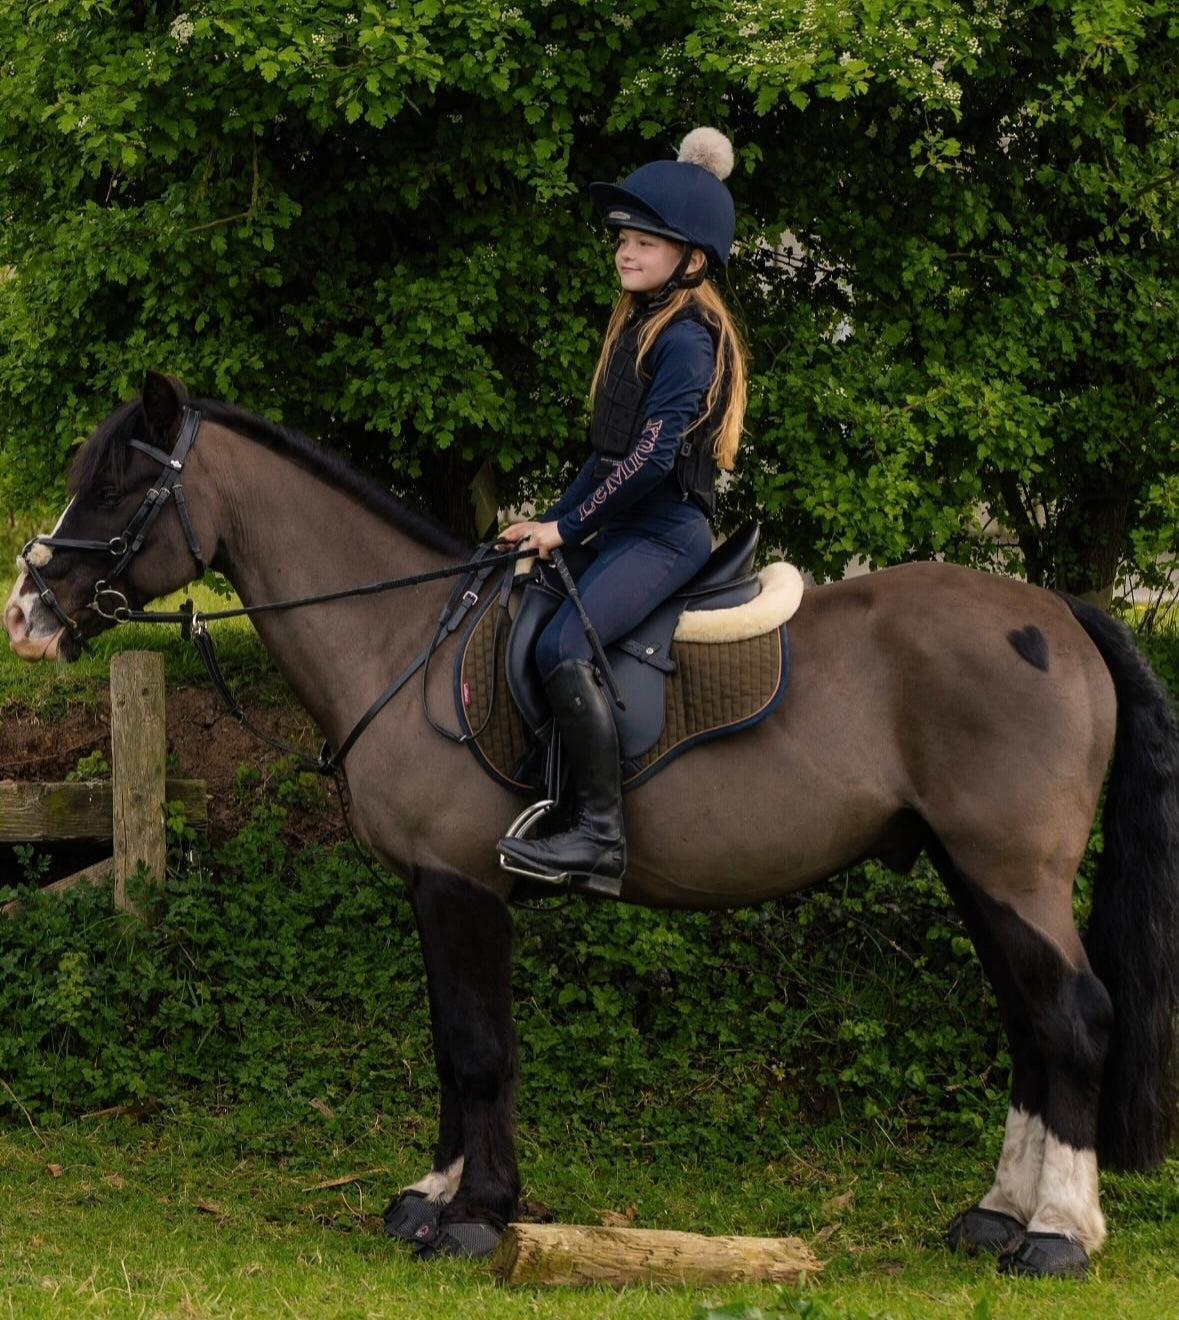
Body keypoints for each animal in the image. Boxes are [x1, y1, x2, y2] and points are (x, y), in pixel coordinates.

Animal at [5, 371, 1178, 1277]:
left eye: (117, 483)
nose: (27, 615)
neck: (404, 637)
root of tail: (1057, 611)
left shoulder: (461, 882)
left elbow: (480, 1048)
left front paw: (478, 1218)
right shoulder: (435, 890)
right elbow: (451, 1044)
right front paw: (434, 1195)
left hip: (1011, 869)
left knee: (1076, 1016)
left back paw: (1058, 1233)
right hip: (968, 870)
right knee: (1030, 1022)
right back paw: (994, 1219)